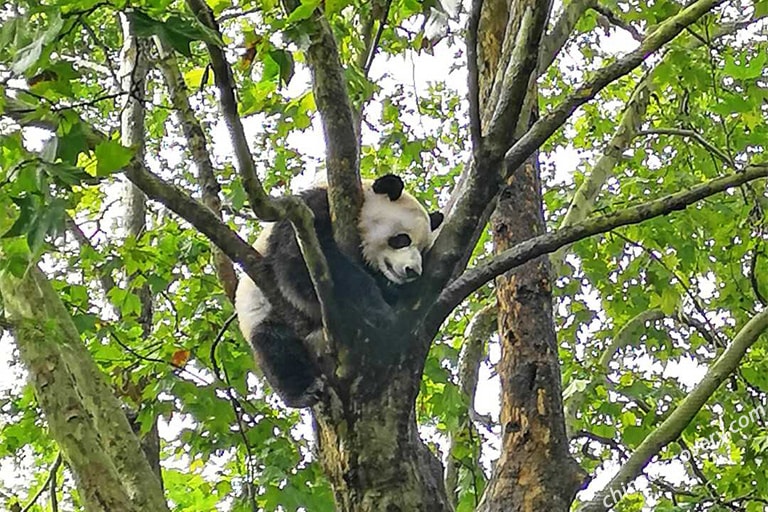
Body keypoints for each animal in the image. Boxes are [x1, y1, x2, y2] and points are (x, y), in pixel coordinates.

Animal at [234, 175, 444, 408]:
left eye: (422, 250)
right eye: (401, 239)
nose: (412, 271)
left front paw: (389, 292)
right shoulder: (305, 214)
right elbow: (300, 264)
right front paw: (378, 311)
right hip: (262, 311)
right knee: (275, 347)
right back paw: (305, 391)